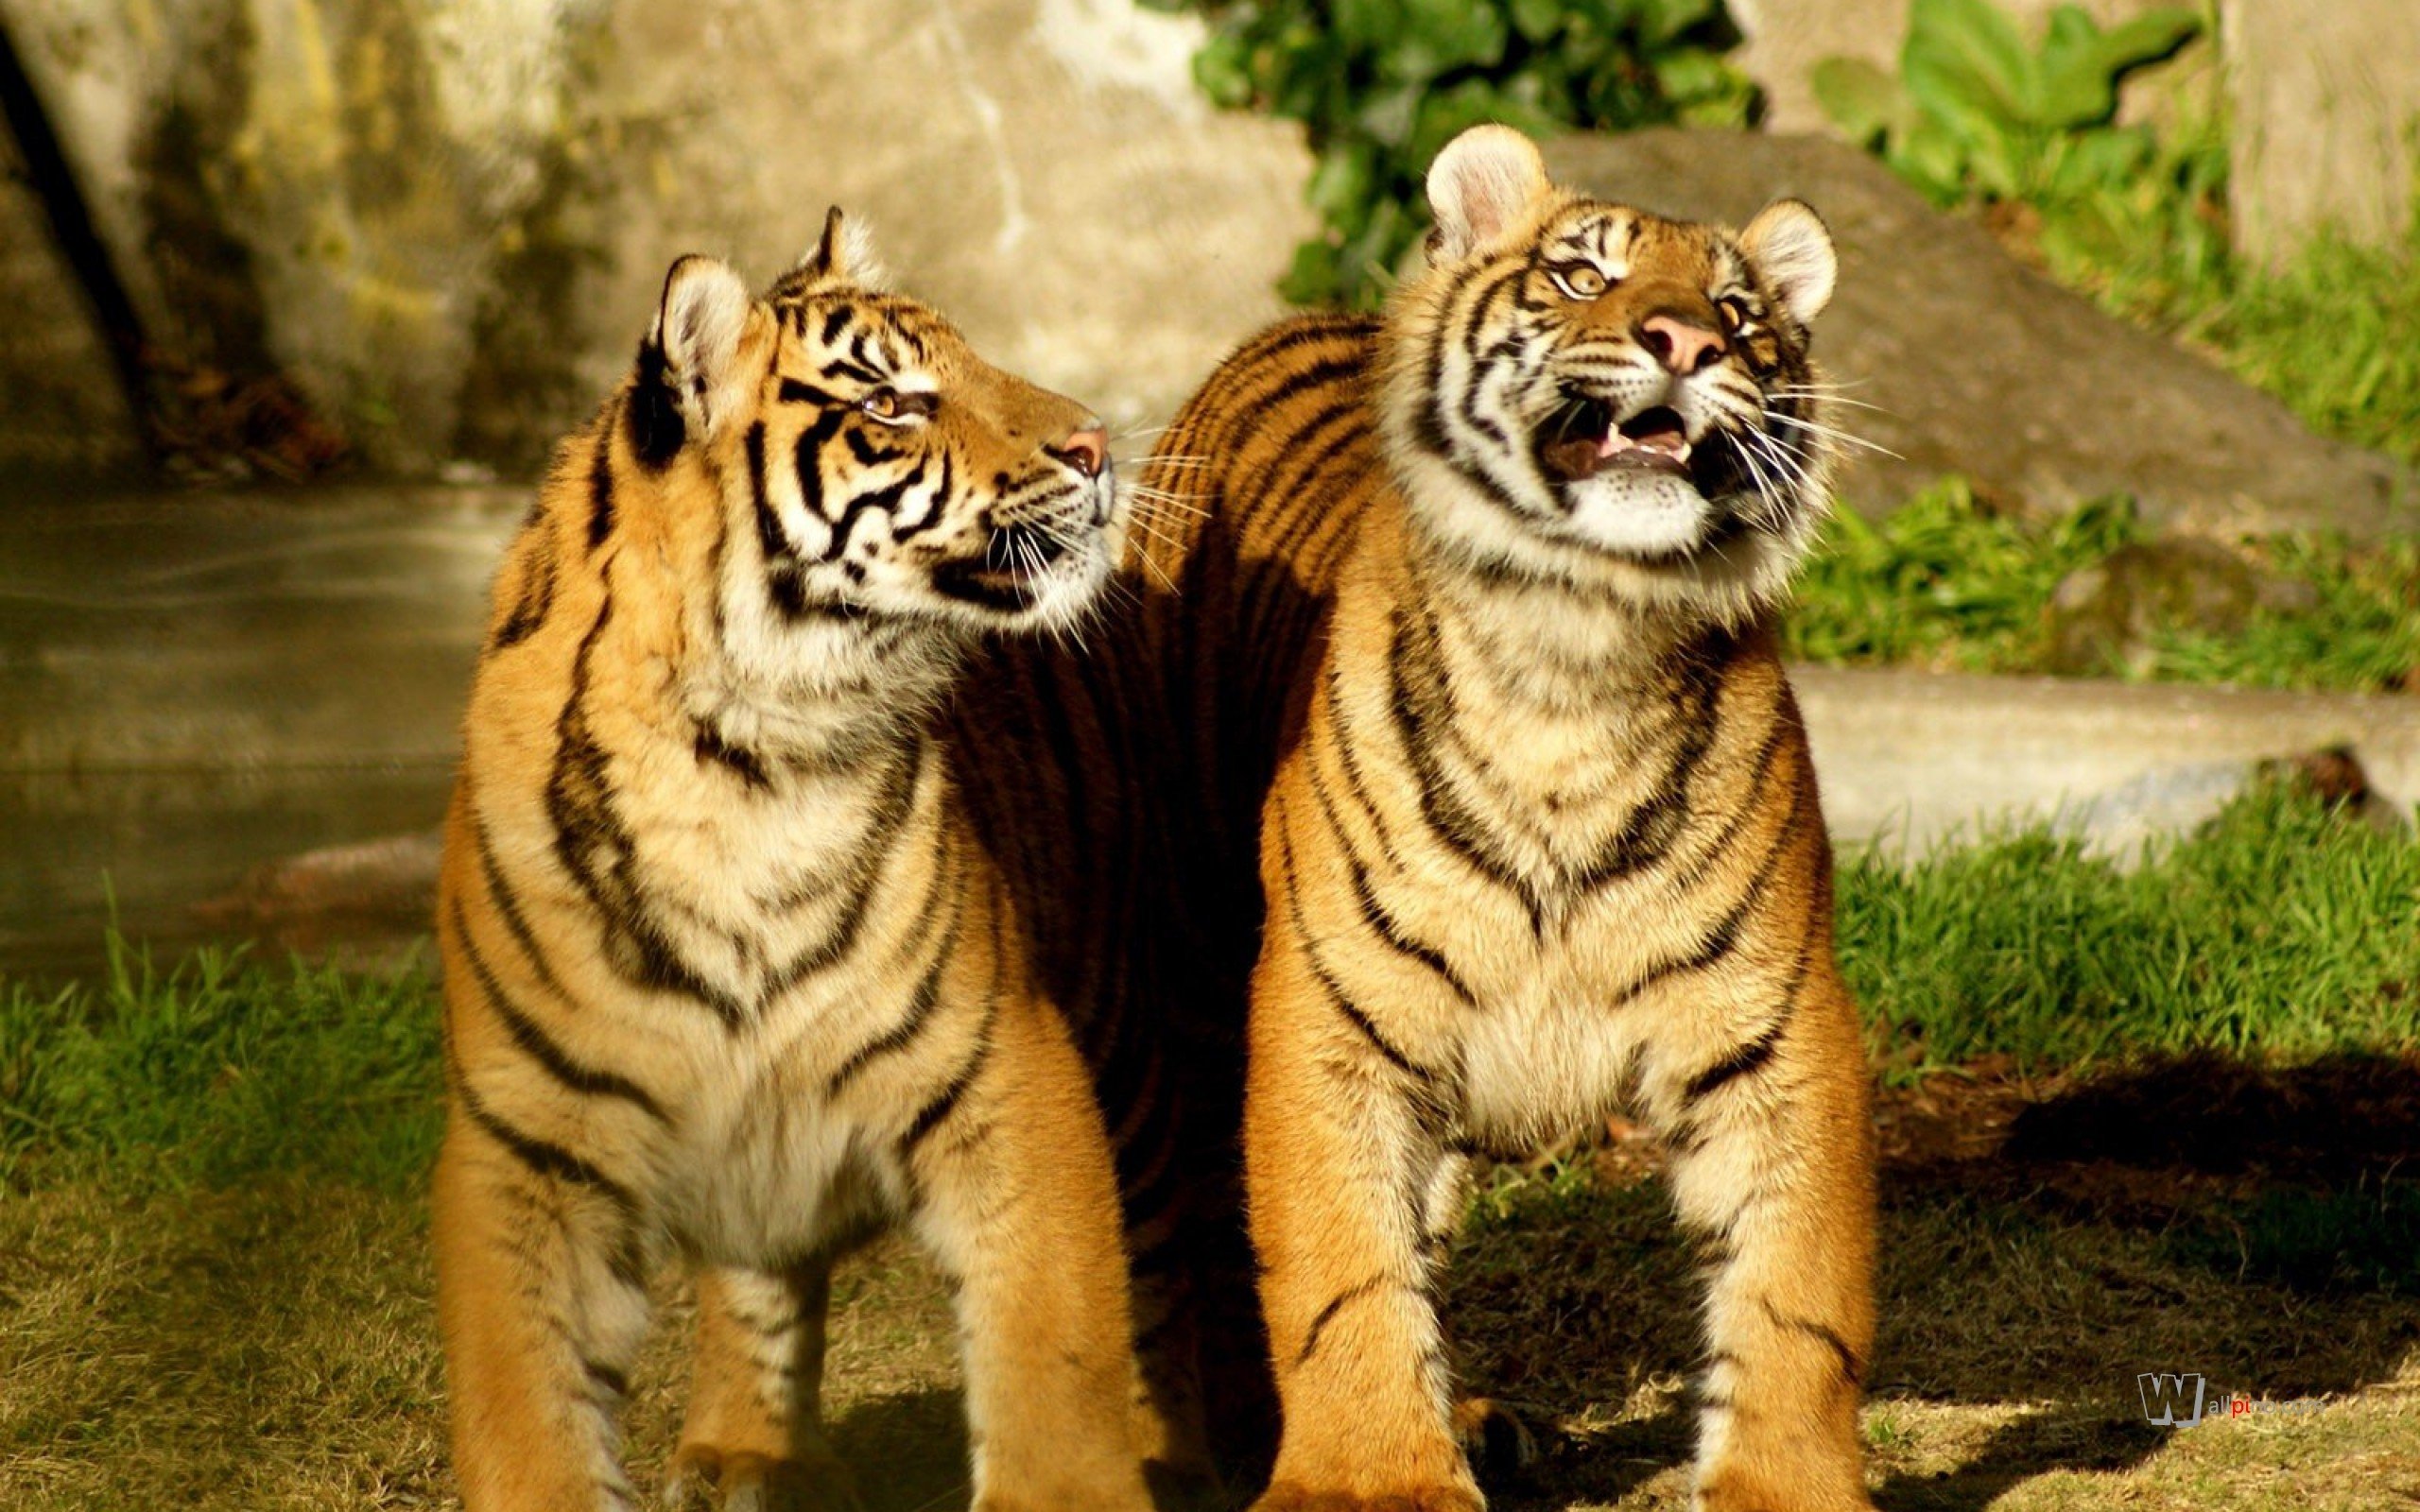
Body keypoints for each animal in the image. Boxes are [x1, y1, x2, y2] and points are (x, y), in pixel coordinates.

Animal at [431, 208, 1157, 1512]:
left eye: (970, 356)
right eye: (893, 403)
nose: (1092, 446)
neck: (739, 767)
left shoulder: (1011, 1072)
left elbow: (1052, 1364)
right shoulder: (523, 1145)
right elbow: (527, 1421)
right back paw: (748, 1452)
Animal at [1116, 124, 1881, 1511]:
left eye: (1742, 317)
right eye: (1585, 277)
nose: (1686, 344)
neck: (1577, 648)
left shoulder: (1777, 1024)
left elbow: (1798, 1290)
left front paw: (1782, 1485)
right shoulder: (1328, 1020)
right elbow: (1337, 1273)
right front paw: (1370, 1477)